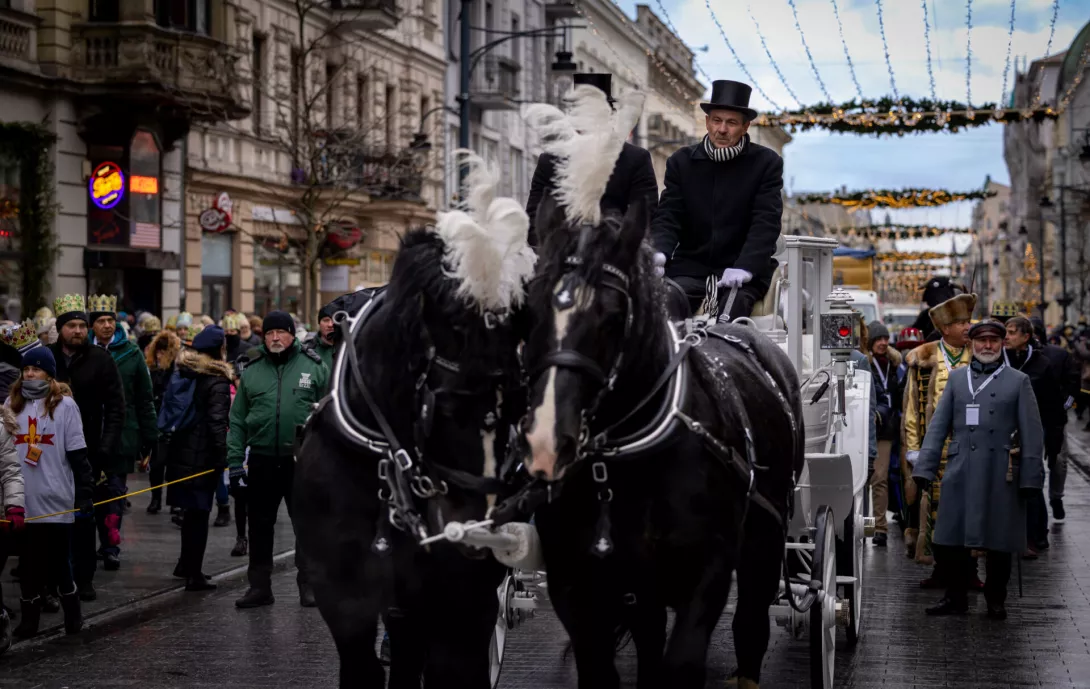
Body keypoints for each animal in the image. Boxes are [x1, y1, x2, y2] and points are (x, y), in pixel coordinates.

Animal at [294, 227, 523, 688]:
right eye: (446, 407)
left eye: (518, 403)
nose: (481, 529)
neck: (386, 463)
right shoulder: (341, 589)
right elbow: (362, 668)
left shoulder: (461, 595)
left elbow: (453, 668)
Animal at [518, 195, 810, 688]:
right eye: (529, 312)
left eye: (614, 317)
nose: (546, 441)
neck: (622, 468)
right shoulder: (575, 584)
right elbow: (603, 668)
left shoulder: (708, 572)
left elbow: (683, 665)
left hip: (766, 539)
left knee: (751, 625)